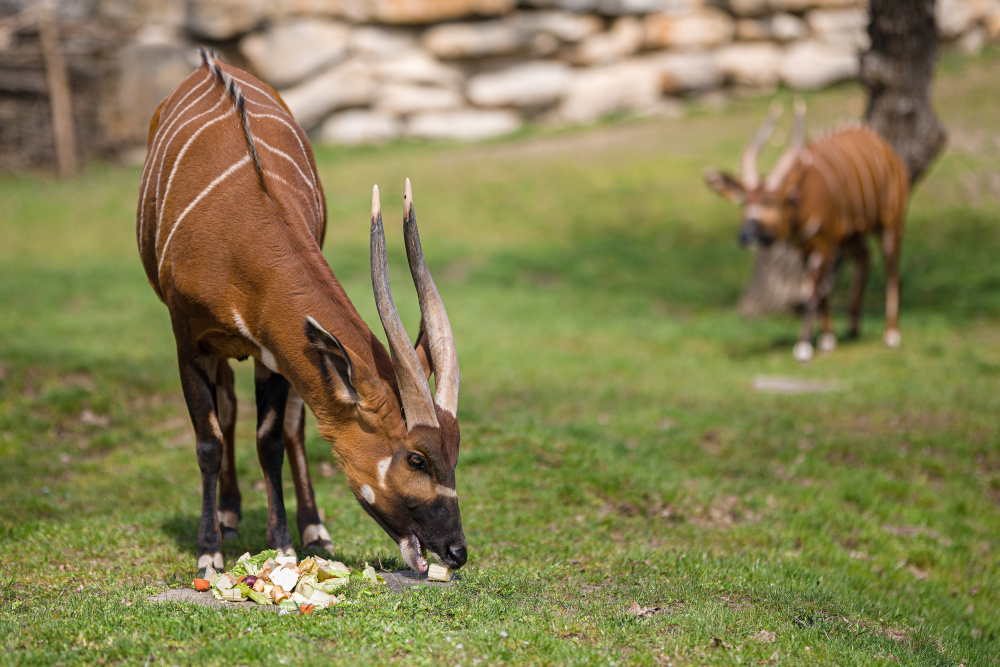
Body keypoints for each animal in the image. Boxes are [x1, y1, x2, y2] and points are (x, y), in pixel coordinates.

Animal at [135, 51, 466, 576]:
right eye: (416, 459)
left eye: (455, 453)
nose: (457, 550)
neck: (242, 229)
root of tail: (209, 61)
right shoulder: (188, 340)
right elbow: (208, 441)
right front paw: (209, 552)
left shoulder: (274, 351)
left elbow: (271, 440)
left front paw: (286, 544)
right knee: (227, 413)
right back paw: (228, 516)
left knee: (285, 426)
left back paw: (313, 528)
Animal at [704, 102, 916, 362]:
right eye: (744, 203)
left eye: (772, 202)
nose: (746, 236)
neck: (801, 196)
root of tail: (886, 148)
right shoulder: (806, 247)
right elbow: (820, 288)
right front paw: (827, 340)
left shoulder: (824, 243)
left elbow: (811, 290)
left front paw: (804, 347)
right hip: (849, 236)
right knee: (864, 257)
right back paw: (853, 327)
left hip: (891, 224)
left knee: (892, 271)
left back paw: (891, 334)